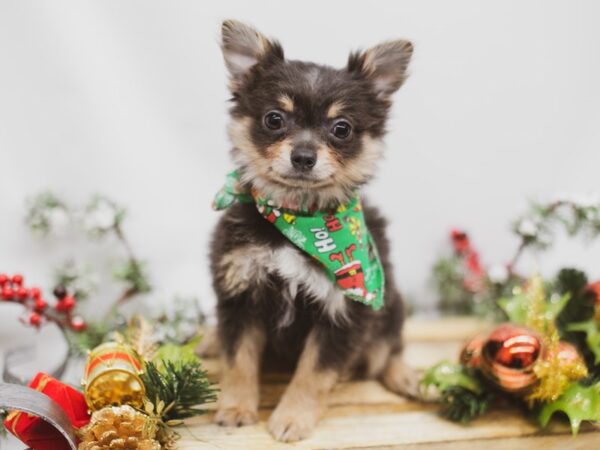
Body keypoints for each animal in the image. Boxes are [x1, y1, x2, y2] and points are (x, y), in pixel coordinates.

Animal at [209, 19, 414, 442]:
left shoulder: (344, 311)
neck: (298, 219)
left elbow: (313, 374)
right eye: (274, 119)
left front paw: (292, 418)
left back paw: (405, 376)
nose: (303, 156)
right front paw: (235, 407)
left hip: (390, 302)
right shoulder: (238, 292)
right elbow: (238, 359)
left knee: (388, 349)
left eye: (341, 128)